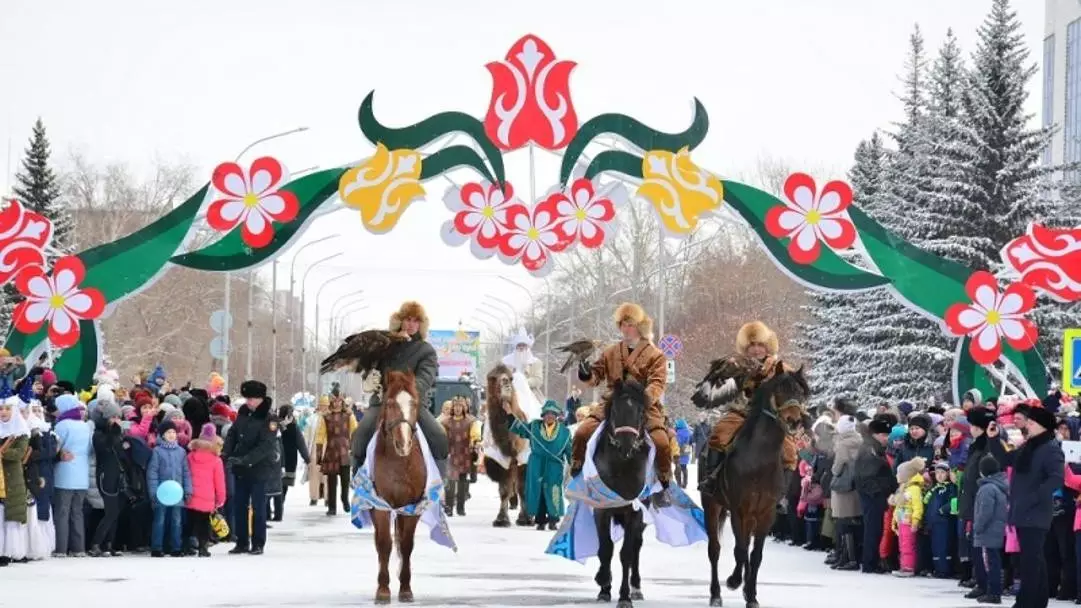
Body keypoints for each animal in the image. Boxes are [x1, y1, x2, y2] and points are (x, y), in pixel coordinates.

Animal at [484, 363, 529, 525]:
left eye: (510, 377)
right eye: (492, 377)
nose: (506, 384)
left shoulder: (525, 459)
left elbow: (523, 488)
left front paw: (524, 518)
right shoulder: (500, 460)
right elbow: (504, 490)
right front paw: (501, 519)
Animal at [696, 359, 808, 605]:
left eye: (800, 392)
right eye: (780, 389)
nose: (794, 421)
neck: (759, 459)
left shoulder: (766, 513)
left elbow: (755, 555)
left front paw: (752, 595)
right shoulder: (739, 510)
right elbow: (740, 550)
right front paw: (734, 581)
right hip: (712, 504)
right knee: (715, 549)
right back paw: (716, 593)